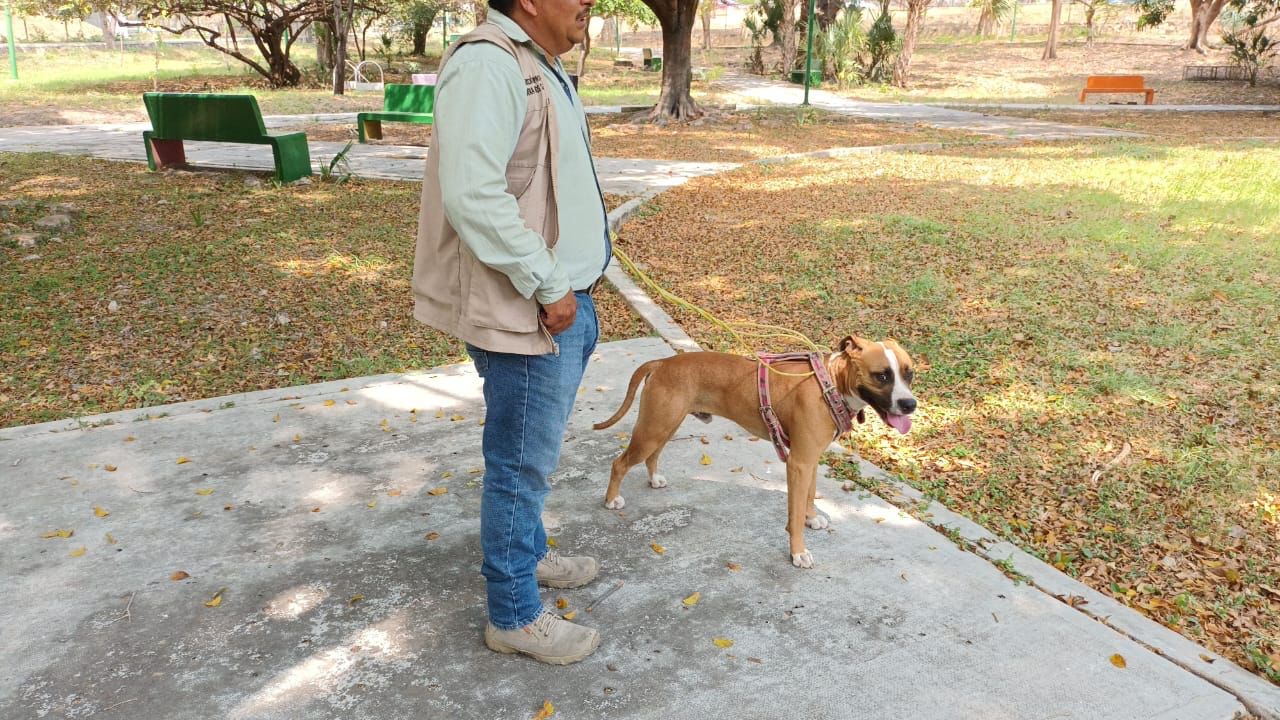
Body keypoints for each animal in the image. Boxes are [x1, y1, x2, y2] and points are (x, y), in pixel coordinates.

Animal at [593, 335, 916, 566]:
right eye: (882, 376)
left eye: (909, 374)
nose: (910, 404)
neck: (830, 383)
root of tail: (662, 362)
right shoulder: (799, 462)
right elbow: (794, 514)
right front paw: (798, 551)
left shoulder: (810, 459)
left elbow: (810, 495)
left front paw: (811, 517)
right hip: (654, 428)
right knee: (619, 463)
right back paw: (611, 500)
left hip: (664, 426)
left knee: (653, 455)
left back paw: (654, 479)